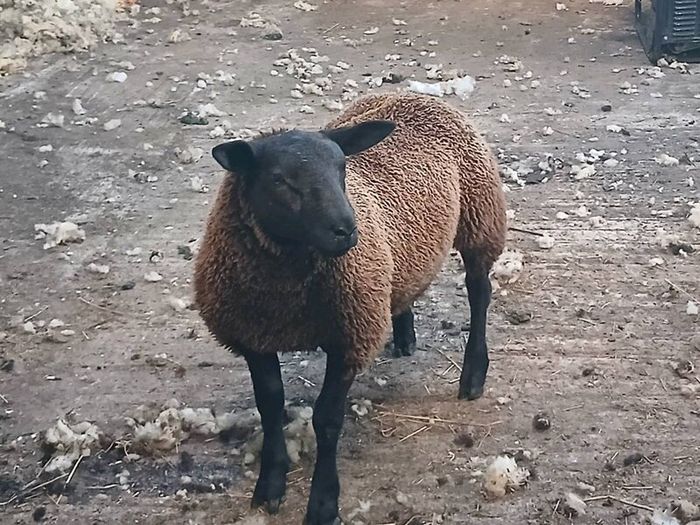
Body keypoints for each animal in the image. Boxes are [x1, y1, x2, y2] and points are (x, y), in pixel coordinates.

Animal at [194, 92, 507, 525]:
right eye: (279, 179)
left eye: (342, 168)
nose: (346, 230)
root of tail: (413, 94)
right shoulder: (253, 335)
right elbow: (269, 407)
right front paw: (270, 486)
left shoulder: (349, 337)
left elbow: (327, 420)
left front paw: (323, 503)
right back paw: (404, 333)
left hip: (480, 215)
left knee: (479, 292)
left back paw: (473, 373)